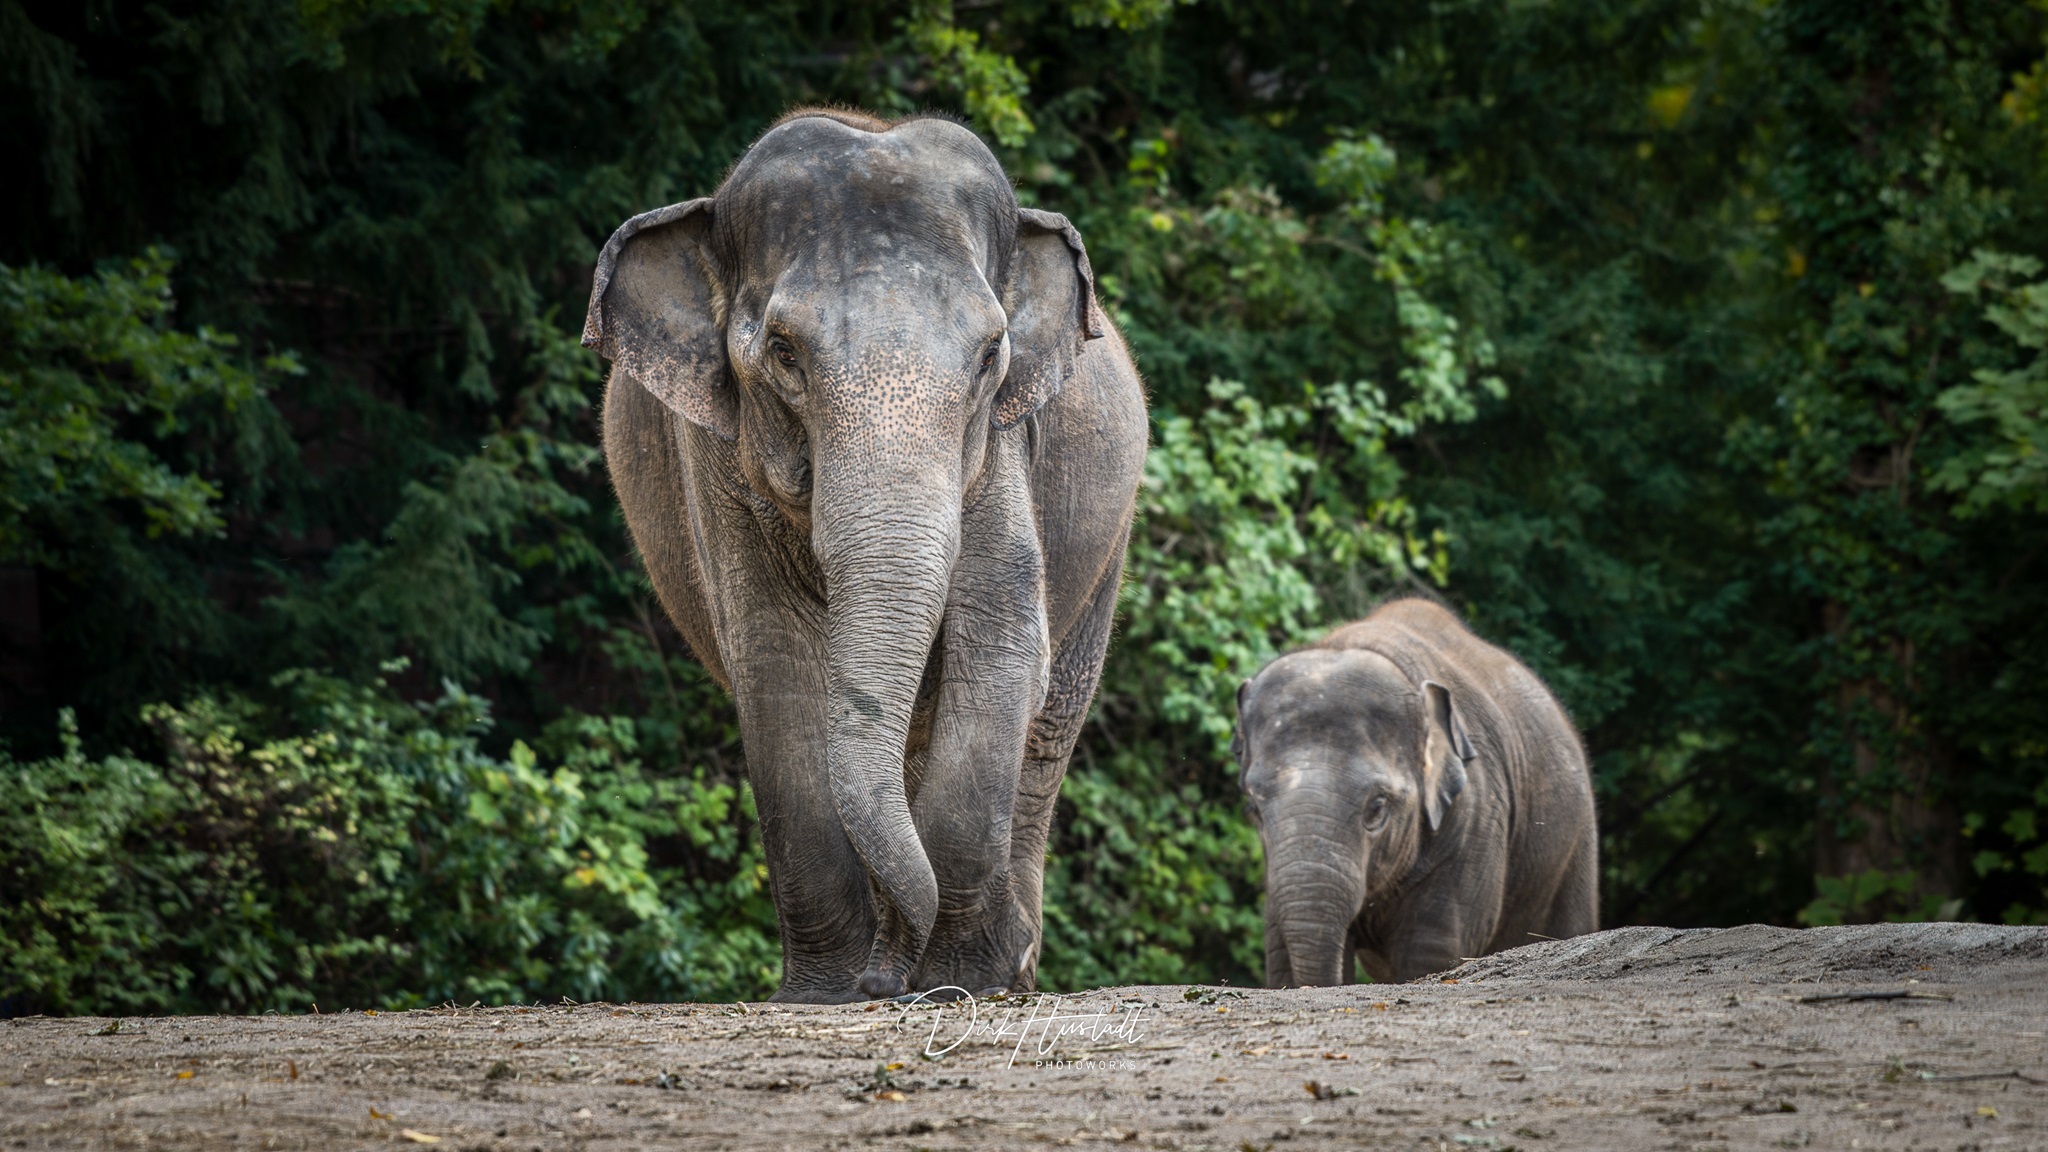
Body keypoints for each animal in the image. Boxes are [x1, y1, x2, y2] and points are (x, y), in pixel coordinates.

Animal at [583, 108, 1147, 1003]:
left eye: (991, 355)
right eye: (783, 352)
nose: (889, 982)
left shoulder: (1001, 444)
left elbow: (1000, 641)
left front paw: (955, 984)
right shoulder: (714, 459)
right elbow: (775, 664)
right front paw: (827, 992)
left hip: (1108, 540)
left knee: (1050, 719)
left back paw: (1010, 972)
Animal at [1233, 597, 1598, 986]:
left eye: (1377, 808)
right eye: (1254, 810)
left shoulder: (1478, 813)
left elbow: (1432, 948)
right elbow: (1279, 951)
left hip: (1575, 847)